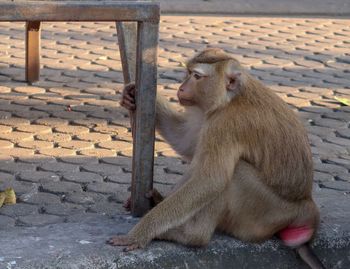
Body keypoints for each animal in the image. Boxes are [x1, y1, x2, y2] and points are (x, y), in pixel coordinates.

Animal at [109, 48, 326, 268]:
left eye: (197, 76)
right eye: (188, 73)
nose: (181, 88)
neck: (230, 97)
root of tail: (306, 211)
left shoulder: (225, 124)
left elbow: (211, 180)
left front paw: (141, 233)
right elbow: (184, 141)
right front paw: (130, 95)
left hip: (265, 214)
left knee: (233, 174)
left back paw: (190, 235)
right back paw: (160, 202)